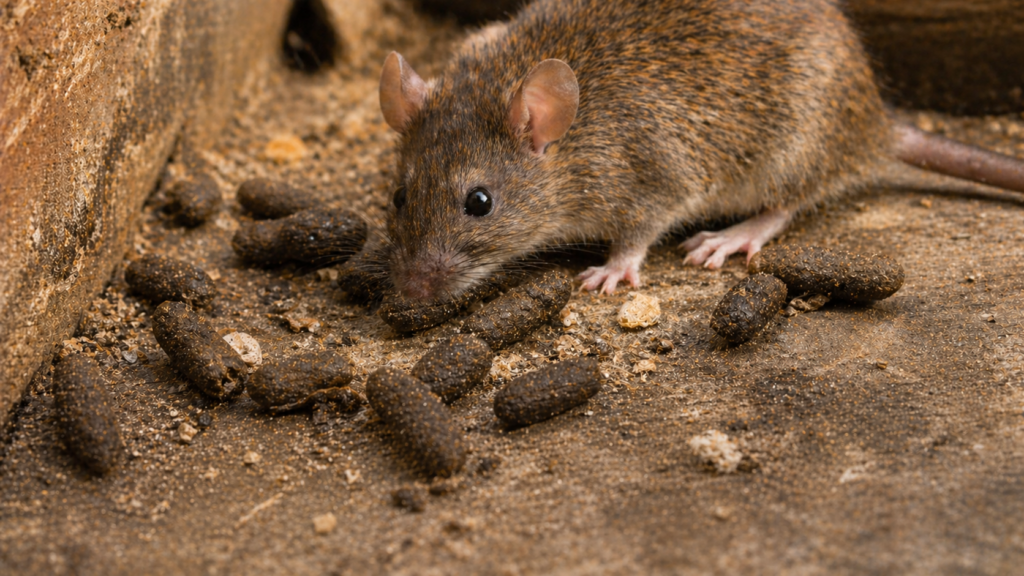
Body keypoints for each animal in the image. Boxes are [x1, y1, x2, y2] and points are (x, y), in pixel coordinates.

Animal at [377, 0, 1024, 300]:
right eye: (399, 196)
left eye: (479, 202)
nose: (406, 295)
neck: (570, 145)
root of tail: (878, 127)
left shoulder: (651, 184)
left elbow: (635, 238)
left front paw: (609, 272)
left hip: (787, 149)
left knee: (788, 204)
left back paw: (731, 236)